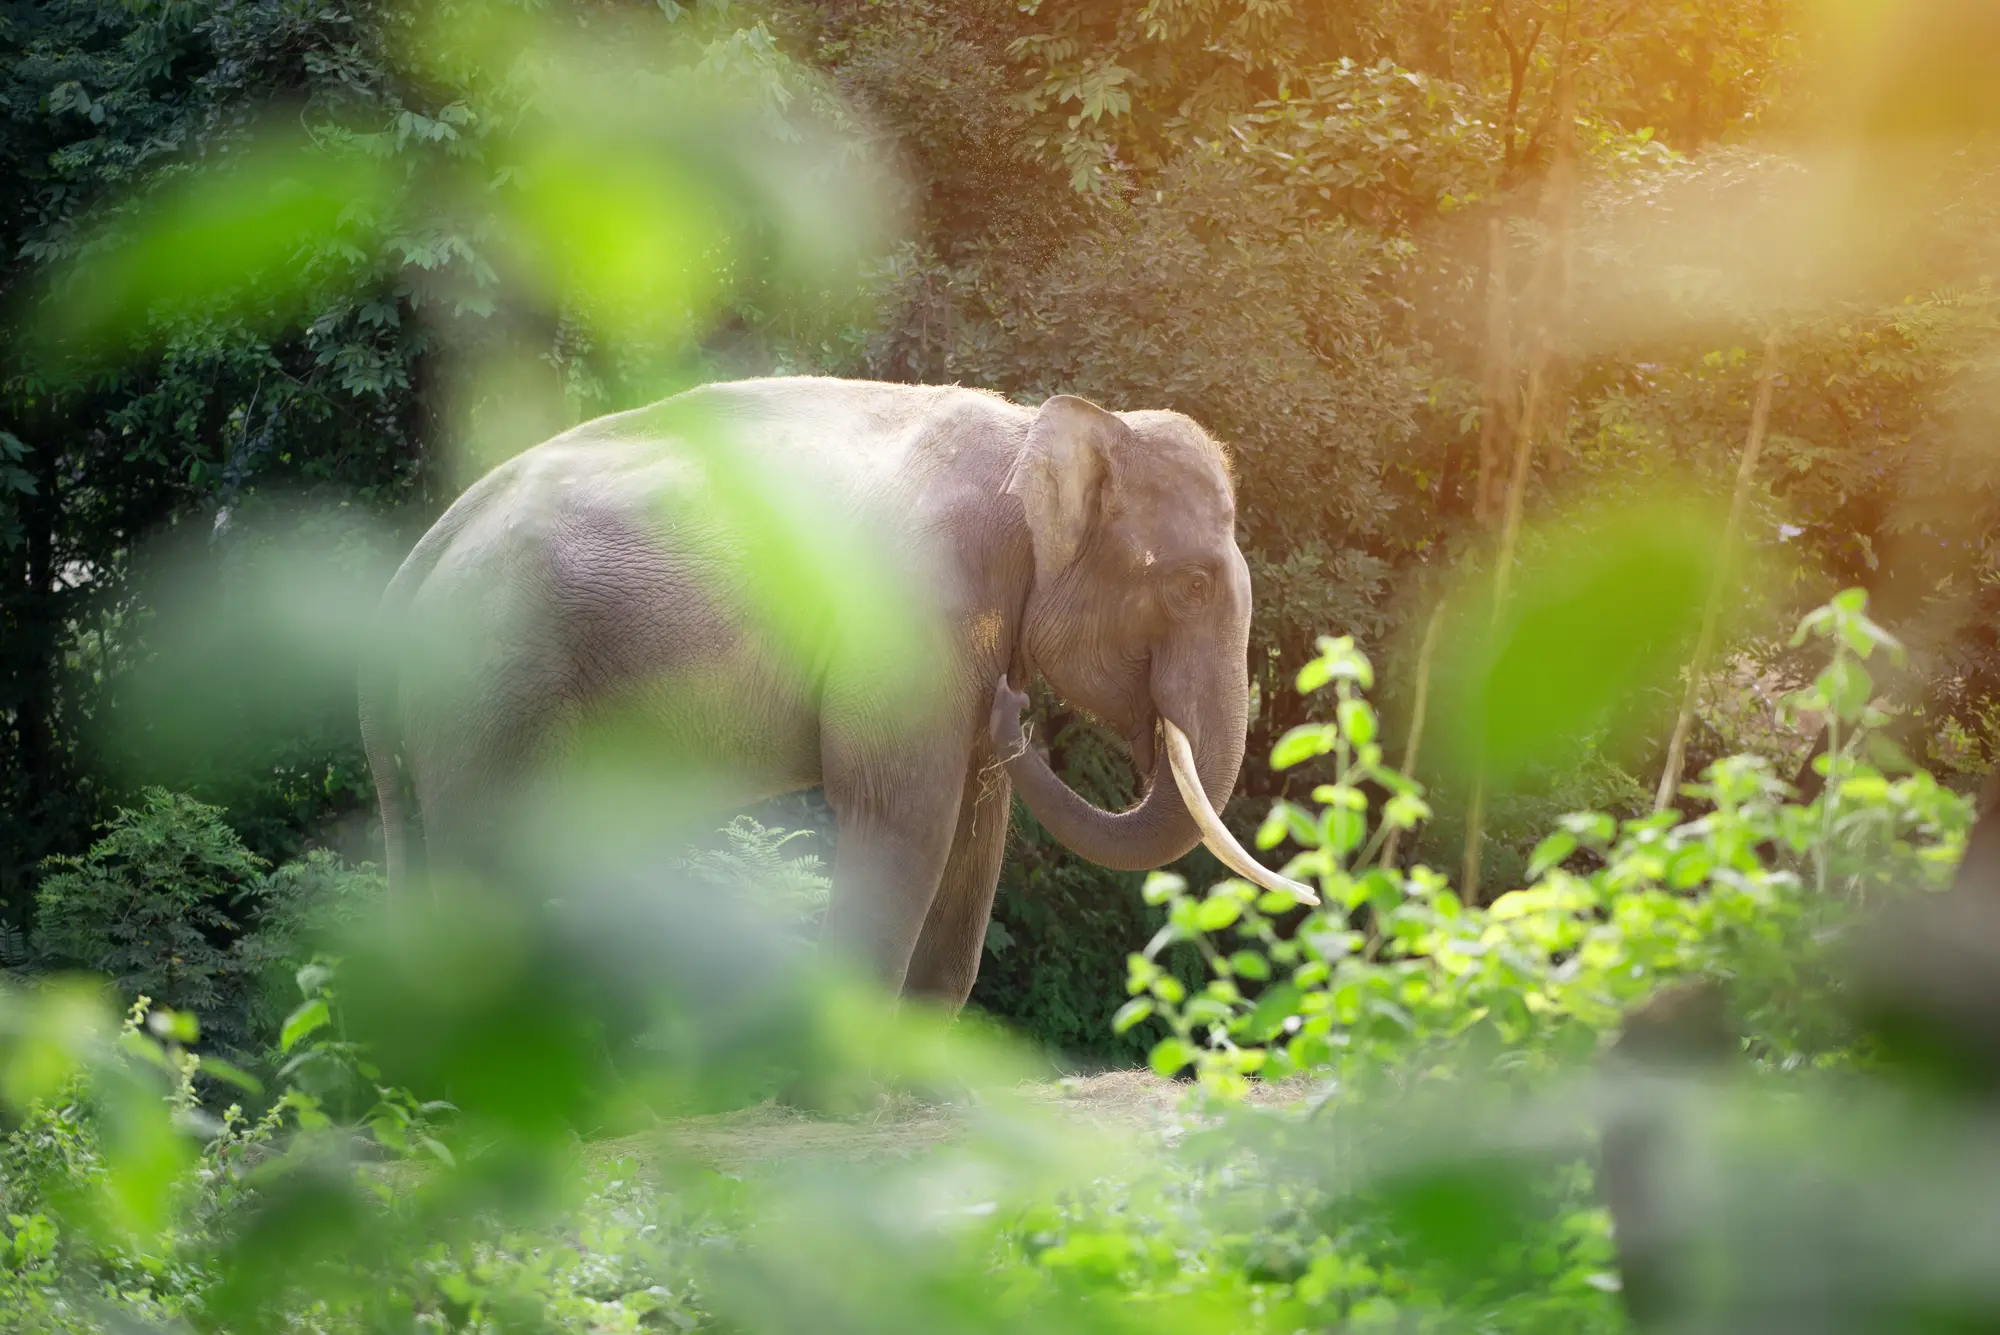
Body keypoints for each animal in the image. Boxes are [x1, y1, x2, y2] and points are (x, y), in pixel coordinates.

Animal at [360, 375, 1312, 1011]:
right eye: (1191, 584)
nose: (1017, 710)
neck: (1030, 431)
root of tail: (425, 551)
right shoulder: (905, 610)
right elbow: (902, 813)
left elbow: (977, 827)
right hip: (490, 677)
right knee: (491, 855)